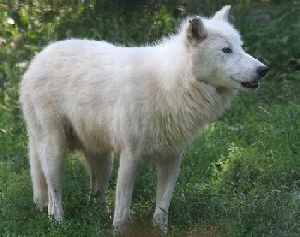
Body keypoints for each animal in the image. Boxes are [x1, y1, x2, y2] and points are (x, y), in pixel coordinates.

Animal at [19, 5, 268, 235]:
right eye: (226, 50)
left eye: (241, 47)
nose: (263, 69)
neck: (172, 85)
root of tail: (36, 59)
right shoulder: (130, 156)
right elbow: (123, 211)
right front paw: (119, 232)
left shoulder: (171, 159)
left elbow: (161, 209)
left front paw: (161, 232)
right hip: (55, 152)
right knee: (54, 197)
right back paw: (59, 224)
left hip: (104, 159)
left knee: (96, 194)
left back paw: (97, 218)